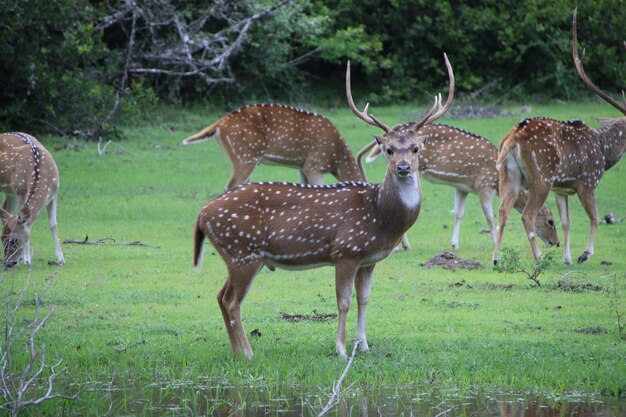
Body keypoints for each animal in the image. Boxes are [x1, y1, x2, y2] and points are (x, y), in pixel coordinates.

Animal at [0, 133, 64, 268]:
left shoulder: (54, 194)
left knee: (6, 208)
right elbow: (29, 225)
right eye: (2, 238)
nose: (8, 263)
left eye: (14, 239)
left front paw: (61, 259)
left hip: (10, 190)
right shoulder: (20, 190)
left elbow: (53, 224)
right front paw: (27, 259)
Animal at [180, 103, 364, 189]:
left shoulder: (302, 167)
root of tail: (219, 124)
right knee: (229, 186)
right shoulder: (315, 165)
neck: (336, 159)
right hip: (245, 156)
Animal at [356, 125, 560, 250]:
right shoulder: (484, 184)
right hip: (415, 169)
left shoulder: (464, 188)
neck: (498, 180)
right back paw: (403, 245)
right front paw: (495, 242)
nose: (556, 243)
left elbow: (458, 213)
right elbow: (489, 215)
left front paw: (454, 244)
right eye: (551, 221)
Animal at [490, 9, 620, 264]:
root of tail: (513, 138)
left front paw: (567, 258)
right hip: (541, 178)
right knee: (527, 214)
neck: (605, 153)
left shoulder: (562, 189)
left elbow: (567, 222)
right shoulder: (588, 182)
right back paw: (539, 257)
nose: (557, 245)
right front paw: (584, 254)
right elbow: (594, 217)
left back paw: (496, 258)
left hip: (510, 175)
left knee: (503, 210)